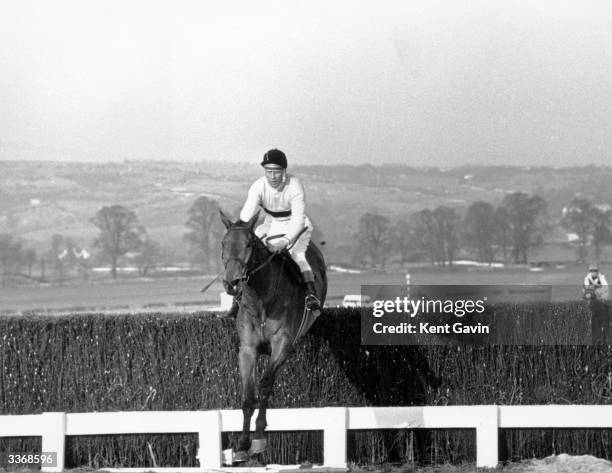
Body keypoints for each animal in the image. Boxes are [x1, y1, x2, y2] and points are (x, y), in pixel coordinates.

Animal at [219, 209, 328, 460]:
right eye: (223, 243)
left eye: (249, 244)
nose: (231, 283)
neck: (261, 300)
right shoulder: (247, 349)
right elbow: (248, 395)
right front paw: (242, 444)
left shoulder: (282, 343)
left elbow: (265, 385)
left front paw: (259, 438)